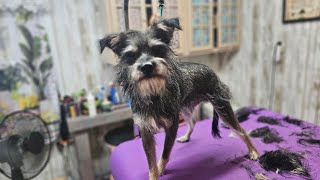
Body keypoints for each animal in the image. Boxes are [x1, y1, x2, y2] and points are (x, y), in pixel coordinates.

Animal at [99, 17, 258, 180]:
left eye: (158, 50)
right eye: (131, 55)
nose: (147, 66)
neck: (153, 92)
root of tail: (212, 71)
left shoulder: (171, 126)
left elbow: (165, 153)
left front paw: (161, 168)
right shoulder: (145, 130)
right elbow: (151, 162)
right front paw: (154, 174)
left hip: (223, 109)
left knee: (241, 130)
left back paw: (253, 151)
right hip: (185, 109)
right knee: (193, 123)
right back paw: (186, 137)